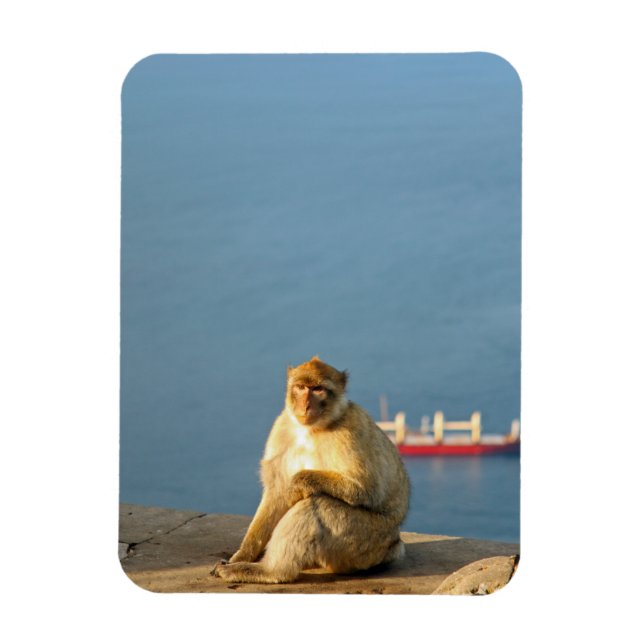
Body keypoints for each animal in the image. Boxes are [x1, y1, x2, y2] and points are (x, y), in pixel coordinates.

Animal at [212, 356, 410, 584]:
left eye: (318, 389)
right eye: (300, 387)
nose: (305, 405)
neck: (311, 429)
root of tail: (393, 545)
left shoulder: (349, 431)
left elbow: (367, 489)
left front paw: (297, 484)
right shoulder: (282, 426)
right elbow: (276, 493)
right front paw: (242, 555)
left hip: (367, 540)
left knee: (316, 504)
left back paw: (272, 571)